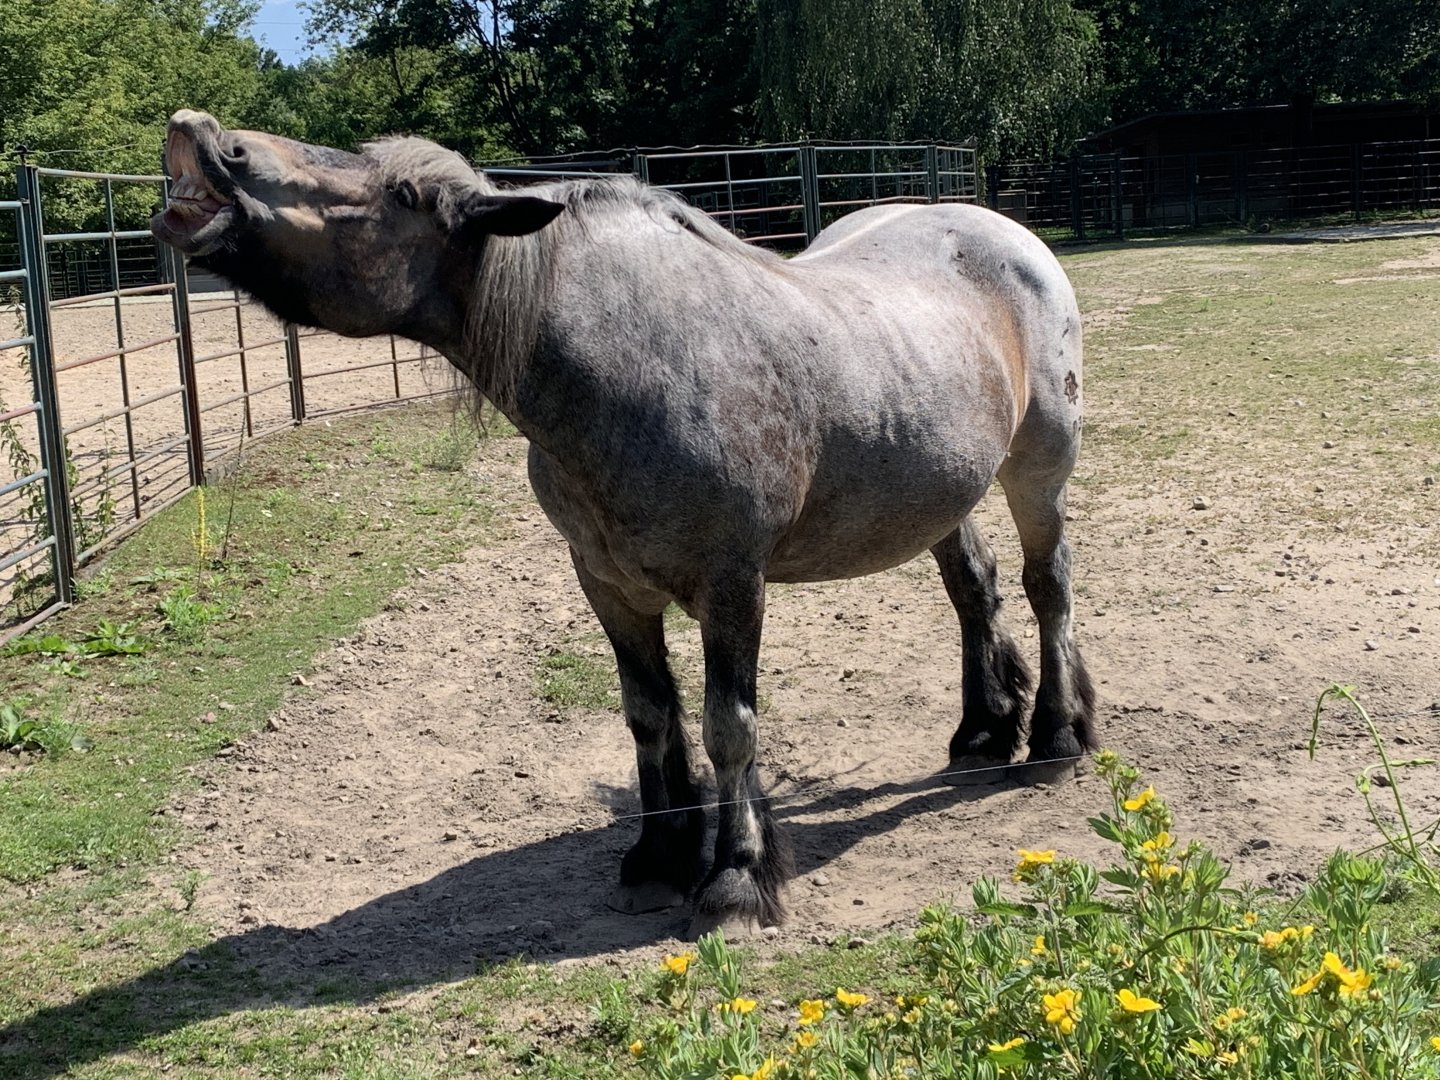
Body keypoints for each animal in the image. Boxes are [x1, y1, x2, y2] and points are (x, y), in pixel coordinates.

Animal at [152, 110, 1096, 935]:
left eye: (406, 195)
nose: (207, 137)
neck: (630, 365)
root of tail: (1001, 235)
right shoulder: (606, 583)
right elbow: (651, 717)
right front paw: (660, 854)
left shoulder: (732, 585)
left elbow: (727, 725)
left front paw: (735, 877)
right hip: (943, 492)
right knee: (974, 591)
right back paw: (985, 728)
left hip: (1038, 469)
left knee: (1046, 587)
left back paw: (1056, 733)